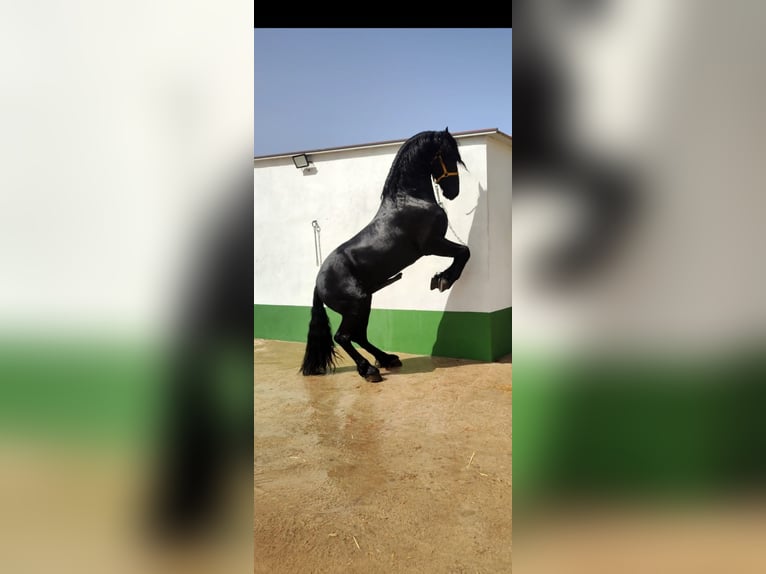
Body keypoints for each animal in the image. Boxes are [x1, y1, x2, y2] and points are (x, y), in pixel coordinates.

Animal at [300, 128, 469, 382]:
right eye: (448, 155)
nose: (453, 192)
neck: (411, 199)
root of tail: (319, 283)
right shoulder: (431, 245)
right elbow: (464, 251)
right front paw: (444, 280)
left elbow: (463, 251)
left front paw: (441, 278)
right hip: (357, 304)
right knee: (343, 337)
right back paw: (369, 370)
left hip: (364, 303)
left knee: (358, 336)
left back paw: (387, 359)